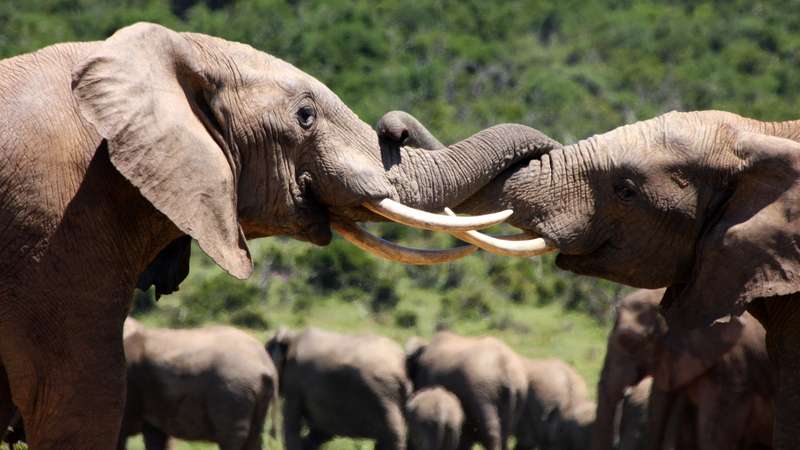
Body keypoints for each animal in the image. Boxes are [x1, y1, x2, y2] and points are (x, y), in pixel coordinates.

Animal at [266, 327, 411, 450]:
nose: (272, 435)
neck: (292, 335)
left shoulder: (295, 382)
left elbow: (292, 425)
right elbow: (320, 432)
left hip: (383, 394)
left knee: (392, 436)